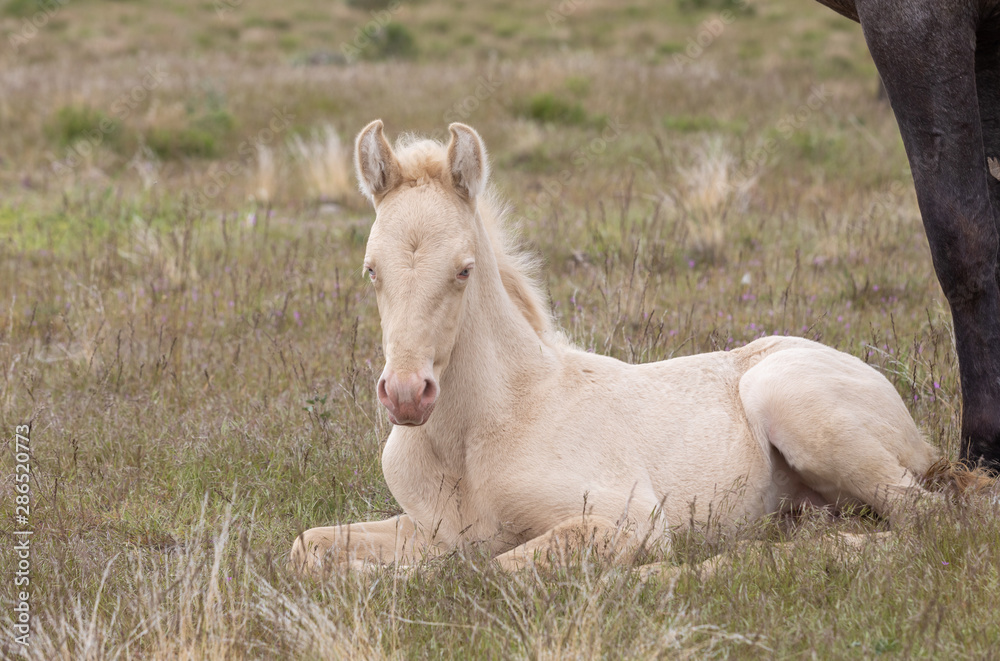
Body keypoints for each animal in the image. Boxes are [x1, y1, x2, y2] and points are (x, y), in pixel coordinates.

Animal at [289, 120, 946, 574]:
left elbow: (489, 571)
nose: (406, 396)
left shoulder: (630, 522)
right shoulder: (429, 527)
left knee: (928, 522)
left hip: (795, 402)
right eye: (371, 270)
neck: (478, 436)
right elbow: (307, 546)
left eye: (463, 270)